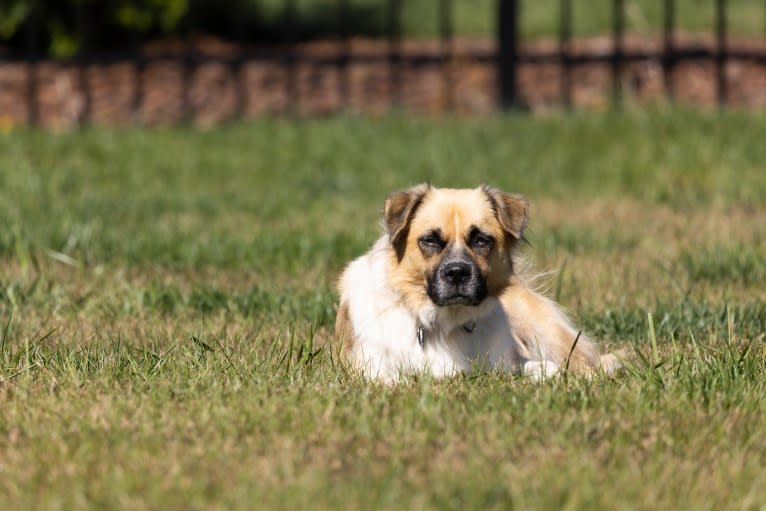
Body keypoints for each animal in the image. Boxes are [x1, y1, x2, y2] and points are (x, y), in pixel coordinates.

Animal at [334, 184, 616, 380]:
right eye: (430, 240)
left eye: (481, 240)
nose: (457, 272)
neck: (443, 323)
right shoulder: (373, 368)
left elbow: (537, 368)